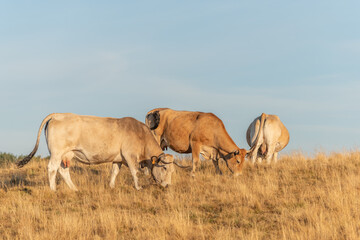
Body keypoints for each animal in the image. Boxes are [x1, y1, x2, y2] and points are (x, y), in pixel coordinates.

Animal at [16, 113, 180, 191]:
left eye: (173, 171)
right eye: (165, 168)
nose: (168, 185)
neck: (141, 134)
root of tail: (57, 114)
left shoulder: (118, 159)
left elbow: (114, 172)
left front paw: (112, 186)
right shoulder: (130, 155)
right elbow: (135, 172)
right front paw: (138, 187)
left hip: (66, 155)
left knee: (63, 171)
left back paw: (75, 189)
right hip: (57, 153)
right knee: (52, 168)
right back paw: (53, 189)